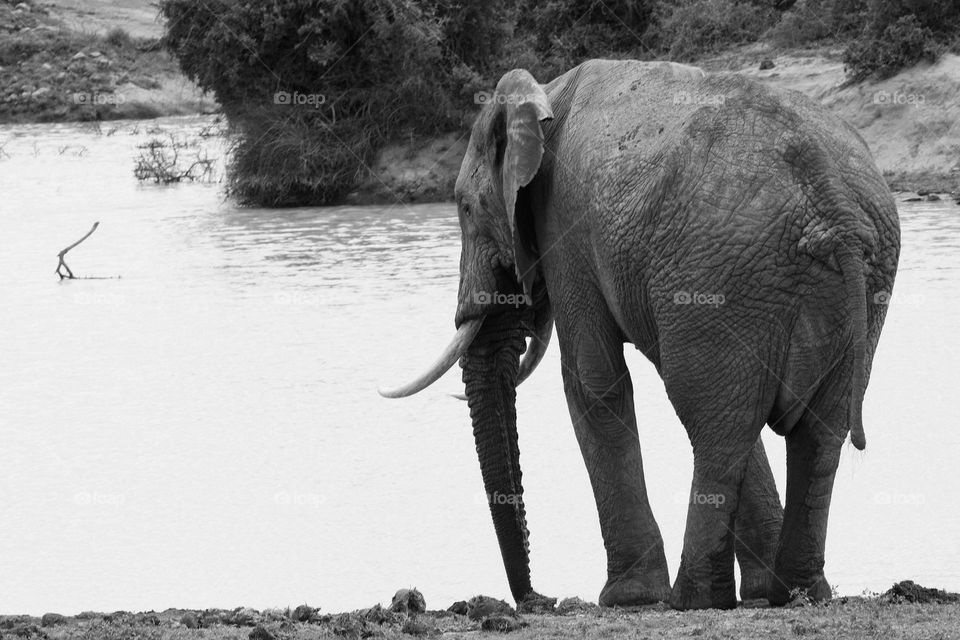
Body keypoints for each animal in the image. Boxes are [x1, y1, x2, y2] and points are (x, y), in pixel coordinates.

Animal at [380, 58, 900, 608]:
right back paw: (794, 593)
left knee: (715, 424)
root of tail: (833, 206)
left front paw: (628, 598)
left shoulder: (565, 227)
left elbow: (591, 381)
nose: (537, 600)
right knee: (810, 431)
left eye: (463, 208)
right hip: (848, 286)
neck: (544, 96)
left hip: (719, 276)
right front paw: (751, 591)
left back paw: (692, 599)